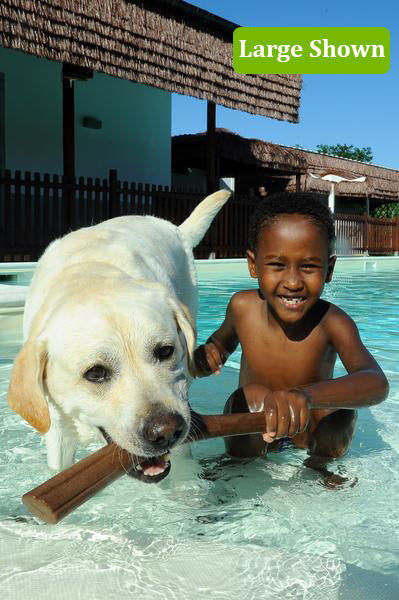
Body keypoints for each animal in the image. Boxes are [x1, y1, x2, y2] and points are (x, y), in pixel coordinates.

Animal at [7, 192, 231, 482]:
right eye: (95, 373)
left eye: (165, 351)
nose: (166, 431)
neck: (90, 277)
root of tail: (175, 228)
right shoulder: (56, 426)